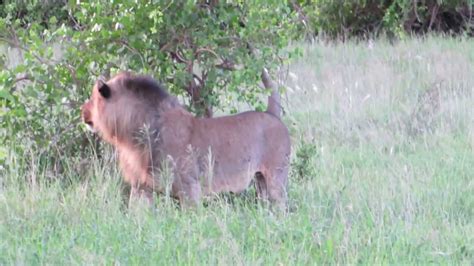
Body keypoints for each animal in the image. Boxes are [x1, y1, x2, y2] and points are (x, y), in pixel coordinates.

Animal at [81, 71, 288, 209]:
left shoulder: (190, 187)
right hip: (260, 182)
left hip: (276, 178)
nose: (82, 111)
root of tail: (271, 114)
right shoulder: (141, 188)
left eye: (92, 98)